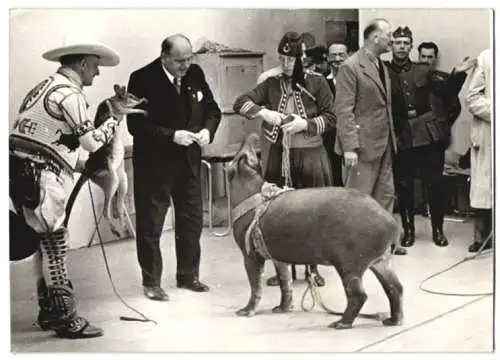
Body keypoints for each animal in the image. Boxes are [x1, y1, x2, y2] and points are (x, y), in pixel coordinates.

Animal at [63, 85, 147, 239]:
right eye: (131, 95)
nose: (140, 97)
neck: (114, 98)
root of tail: (88, 170)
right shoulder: (120, 109)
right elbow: (131, 109)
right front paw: (142, 107)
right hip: (110, 177)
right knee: (105, 210)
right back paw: (115, 229)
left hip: (122, 179)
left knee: (119, 206)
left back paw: (125, 227)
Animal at [226, 134, 402, 330]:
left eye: (240, 155)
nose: (252, 136)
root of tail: (391, 224)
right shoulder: (279, 257)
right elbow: (285, 283)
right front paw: (282, 309)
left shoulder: (250, 254)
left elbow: (255, 285)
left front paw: (245, 311)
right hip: (382, 261)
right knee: (395, 288)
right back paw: (393, 321)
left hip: (350, 265)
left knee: (358, 295)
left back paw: (340, 323)